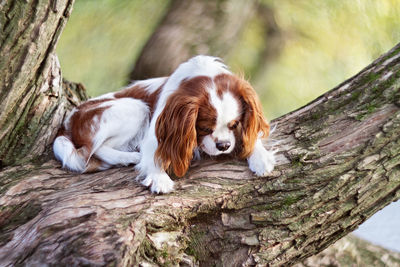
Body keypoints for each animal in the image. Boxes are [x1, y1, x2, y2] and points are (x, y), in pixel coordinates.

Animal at [54, 56, 276, 194]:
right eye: (205, 128)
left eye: (234, 124)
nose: (223, 146)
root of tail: (67, 123)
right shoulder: (156, 132)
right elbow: (154, 154)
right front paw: (159, 177)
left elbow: (252, 136)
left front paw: (260, 158)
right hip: (136, 108)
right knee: (93, 149)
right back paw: (129, 157)